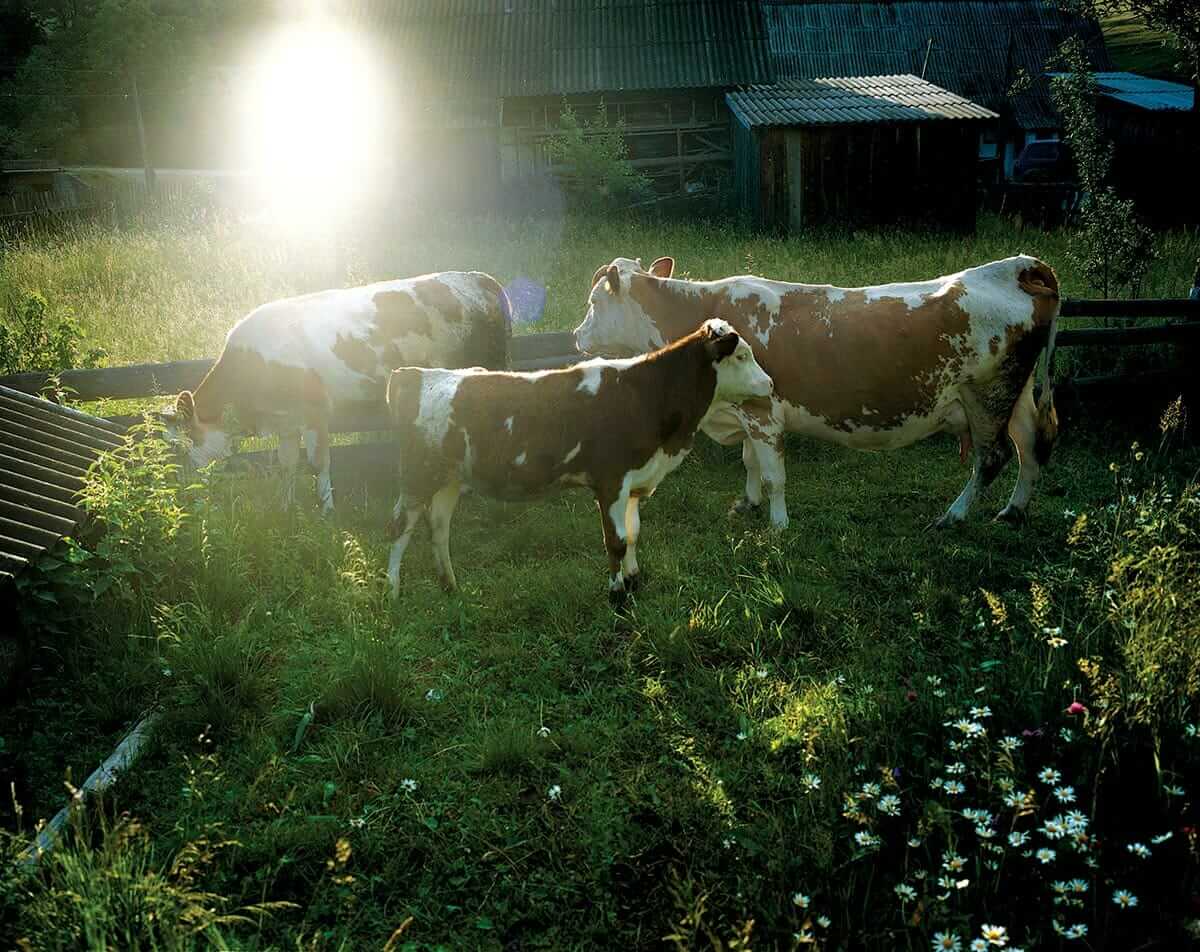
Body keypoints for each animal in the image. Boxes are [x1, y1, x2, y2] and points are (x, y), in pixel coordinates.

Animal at [162, 271, 508, 511]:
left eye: (178, 448)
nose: (175, 490)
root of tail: (481, 279)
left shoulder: (316, 409)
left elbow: (318, 462)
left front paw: (327, 509)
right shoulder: (286, 419)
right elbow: (287, 462)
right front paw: (286, 506)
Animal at [388, 319, 772, 602]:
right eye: (741, 356)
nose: (769, 383)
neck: (648, 394)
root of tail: (413, 374)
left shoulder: (634, 481)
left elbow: (632, 534)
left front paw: (634, 579)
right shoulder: (610, 480)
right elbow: (615, 540)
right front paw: (617, 594)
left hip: (449, 479)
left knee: (439, 527)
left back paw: (450, 586)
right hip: (417, 477)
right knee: (400, 527)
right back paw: (392, 593)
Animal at [571, 252, 1060, 530]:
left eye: (594, 302)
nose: (576, 336)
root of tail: (1014, 267)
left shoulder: (762, 408)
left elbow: (773, 473)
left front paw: (779, 525)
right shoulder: (745, 409)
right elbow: (750, 460)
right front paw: (748, 503)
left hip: (987, 398)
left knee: (992, 457)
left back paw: (954, 516)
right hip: (1015, 398)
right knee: (1031, 447)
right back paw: (1013, 511)